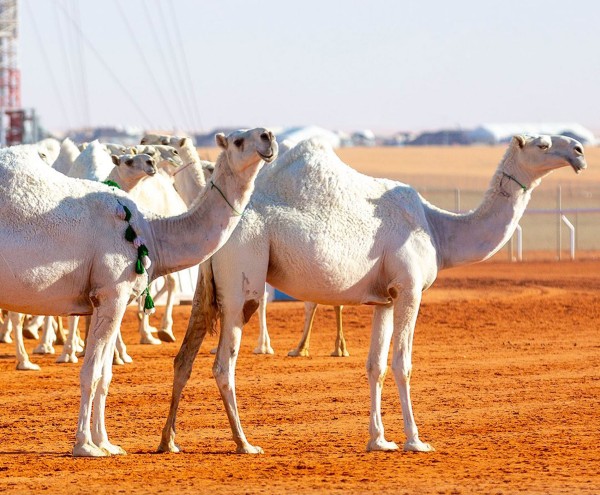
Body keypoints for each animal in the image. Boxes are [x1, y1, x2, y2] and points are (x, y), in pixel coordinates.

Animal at [0, 128, 278, 458]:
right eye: (239, 140)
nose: (268, 136)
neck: (152, 232)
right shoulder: (111, 293)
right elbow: (90, 372)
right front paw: (84, 445)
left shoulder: (111, 301)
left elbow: (105, 375)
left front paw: (106, 442)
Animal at [158, 134, 584, 456]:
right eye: (543, 144)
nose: (579, 151)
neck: (438, 227)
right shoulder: (410, 289)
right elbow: (402, 364)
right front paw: (415, 441)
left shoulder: (385, 299)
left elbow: (374, 366)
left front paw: (379, 440)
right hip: (241, 283)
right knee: (223, 365)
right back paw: (244, 444)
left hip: (208, 288)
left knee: (185, 357)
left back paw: (169, 442)